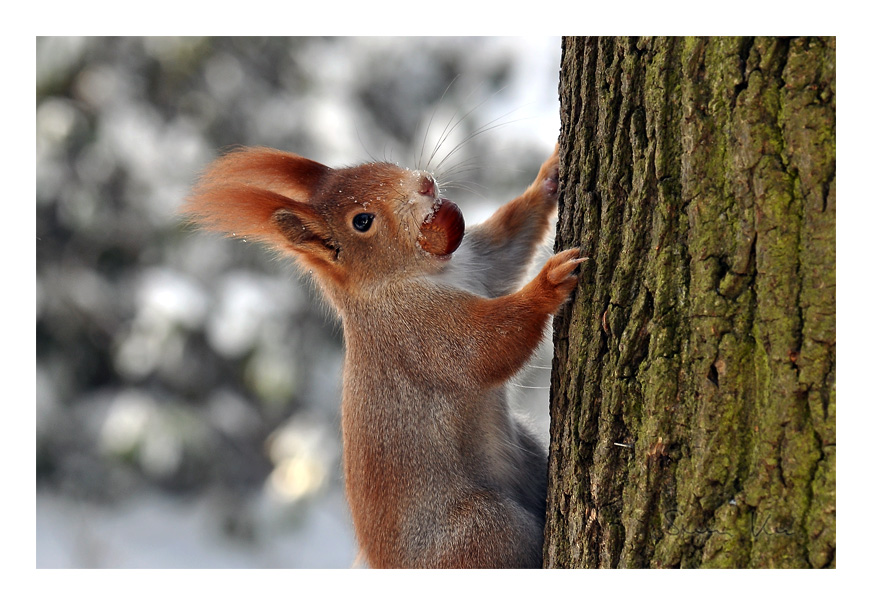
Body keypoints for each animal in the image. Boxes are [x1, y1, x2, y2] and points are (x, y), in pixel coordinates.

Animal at [182, 142, 584, 568]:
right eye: (362, 221)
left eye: (380, 164)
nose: (425, 184)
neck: (420, 274)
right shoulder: (416, 332)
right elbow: (485, 348)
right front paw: (549, 283)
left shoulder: (478, 263)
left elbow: (508, 243)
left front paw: (550, 174)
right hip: (481, 532)